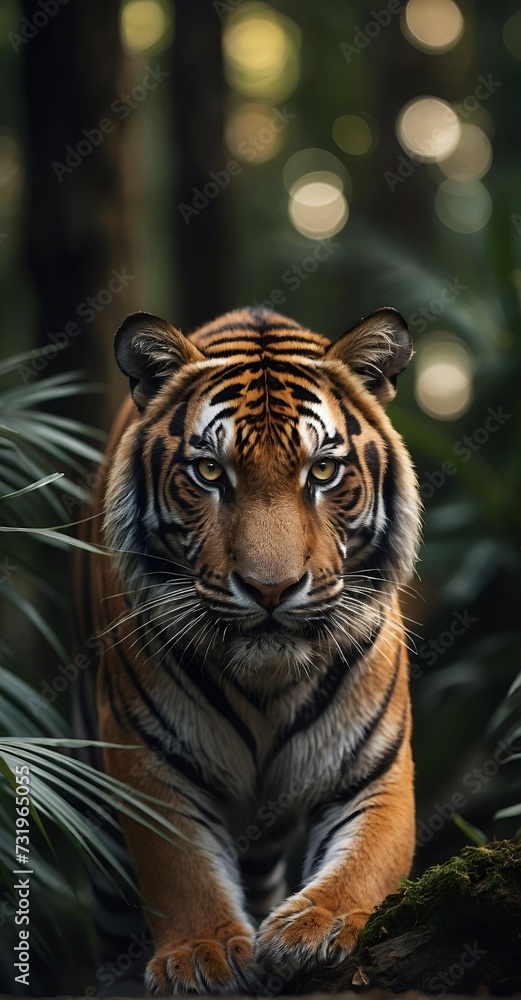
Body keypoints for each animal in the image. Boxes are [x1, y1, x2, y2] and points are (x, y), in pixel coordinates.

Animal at [75, 304, 420, 995]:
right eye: (210, 472)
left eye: (322, 471)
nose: (271, 589)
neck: (268, 685)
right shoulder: (146, 755)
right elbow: (178, 866)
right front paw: (201, 953)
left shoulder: (376, 766)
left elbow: (366, 860)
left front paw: (315, 927)